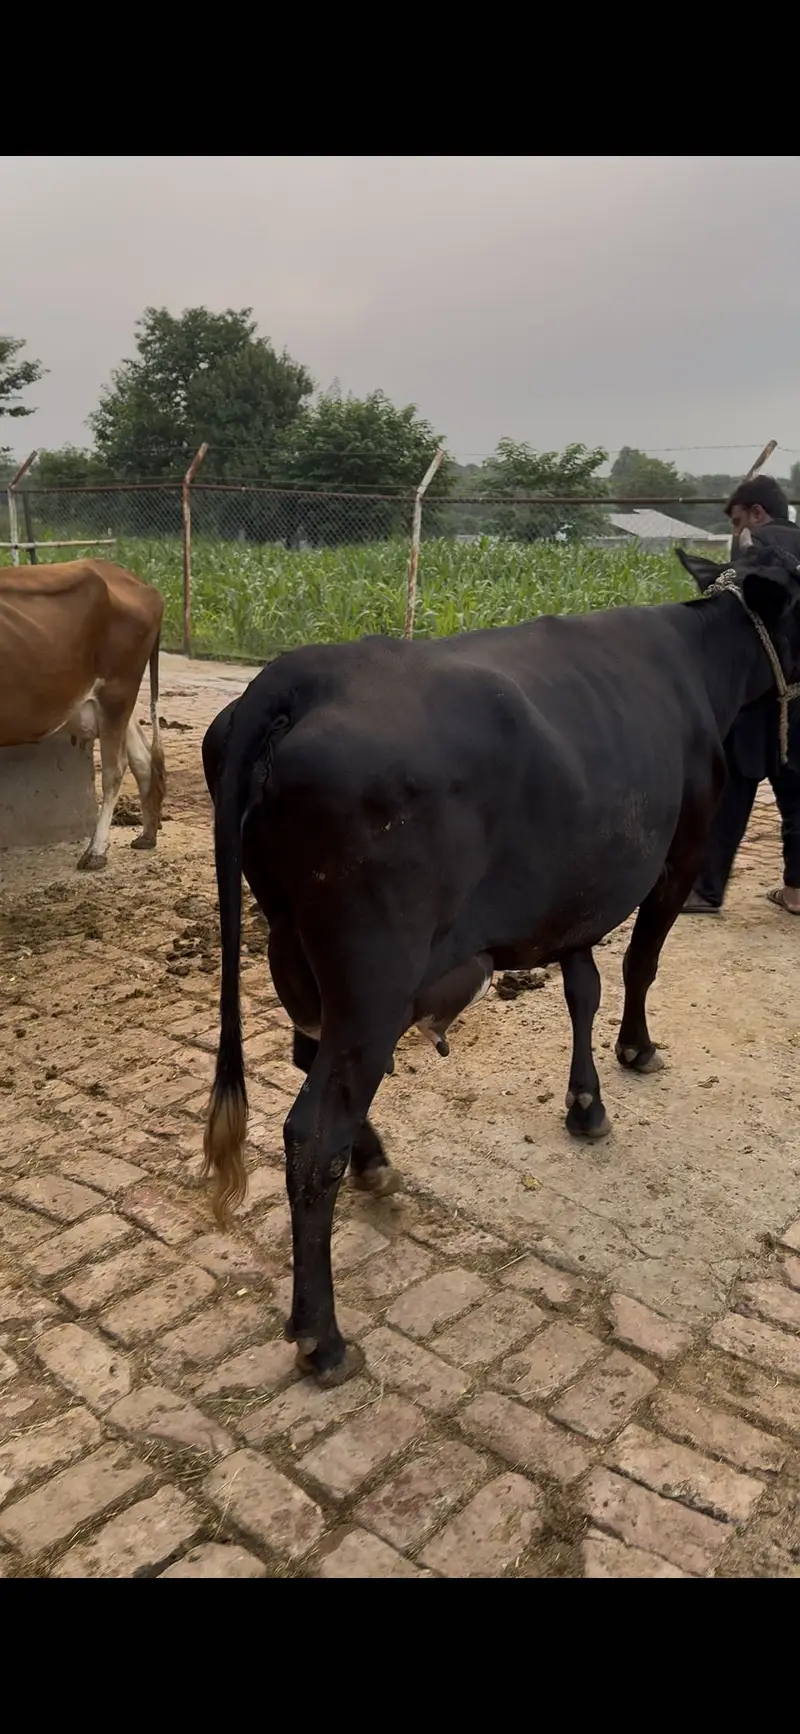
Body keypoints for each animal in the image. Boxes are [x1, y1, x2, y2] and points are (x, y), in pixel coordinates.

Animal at [0, 559, 165, 869]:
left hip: (117, 690)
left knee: (115, 769)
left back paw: (96, 851)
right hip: (111, 699)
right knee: (142, 757)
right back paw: (147, 835)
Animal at [201, 527, 800, 1387]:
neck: (698, 662)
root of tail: (295, 675)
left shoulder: (579, 885)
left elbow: (582, 987)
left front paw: (585, 1105)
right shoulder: (677, 857)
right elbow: (638, 967)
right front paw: (636, 1050)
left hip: (299, 949)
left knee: (310, 1059)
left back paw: (375, 1166)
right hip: (375, 970)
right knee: (314, 1132)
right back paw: (322, 1336)